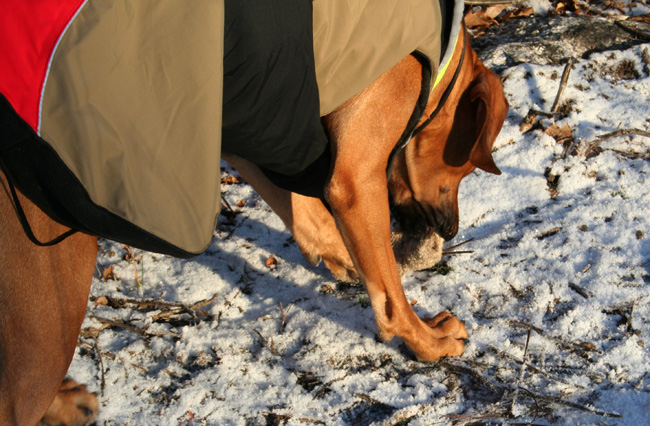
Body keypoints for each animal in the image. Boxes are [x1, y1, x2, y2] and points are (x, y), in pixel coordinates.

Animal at [0, 23, 506, 426]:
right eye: (462, 169)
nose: (451, 232)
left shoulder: (248, 120)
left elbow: (306, 211)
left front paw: (339, 255)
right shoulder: (355, 175)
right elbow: (389, 296)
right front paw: (427, 340)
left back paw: (66, 401)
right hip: (50, 293)